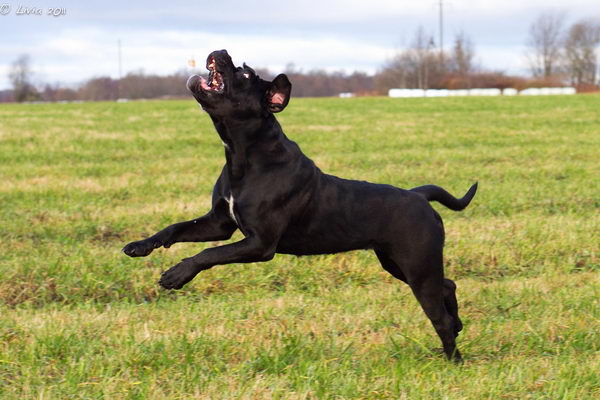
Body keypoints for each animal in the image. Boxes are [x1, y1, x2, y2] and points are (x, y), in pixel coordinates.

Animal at [123, 50, 478, 362]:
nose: (221, 51)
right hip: (398, 264)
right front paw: (140, 246)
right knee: (448, 285)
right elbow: (176, 228)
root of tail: (418, 195)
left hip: (417, 267)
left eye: (246, 75)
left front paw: (177, 274)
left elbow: (208, 254)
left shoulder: (259, 243)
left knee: (438, 315)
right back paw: (458, 325)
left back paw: (454, 359)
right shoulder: (219, 223)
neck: (244, 154)